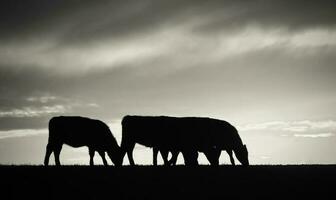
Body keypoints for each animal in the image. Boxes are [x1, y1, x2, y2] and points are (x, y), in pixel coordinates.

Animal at [119, 115, 248, 166]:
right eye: (244, 153)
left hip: (132, 141)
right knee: (126, 151)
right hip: (129, 140)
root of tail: (127, 117)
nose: (247, 164)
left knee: (130, 151)